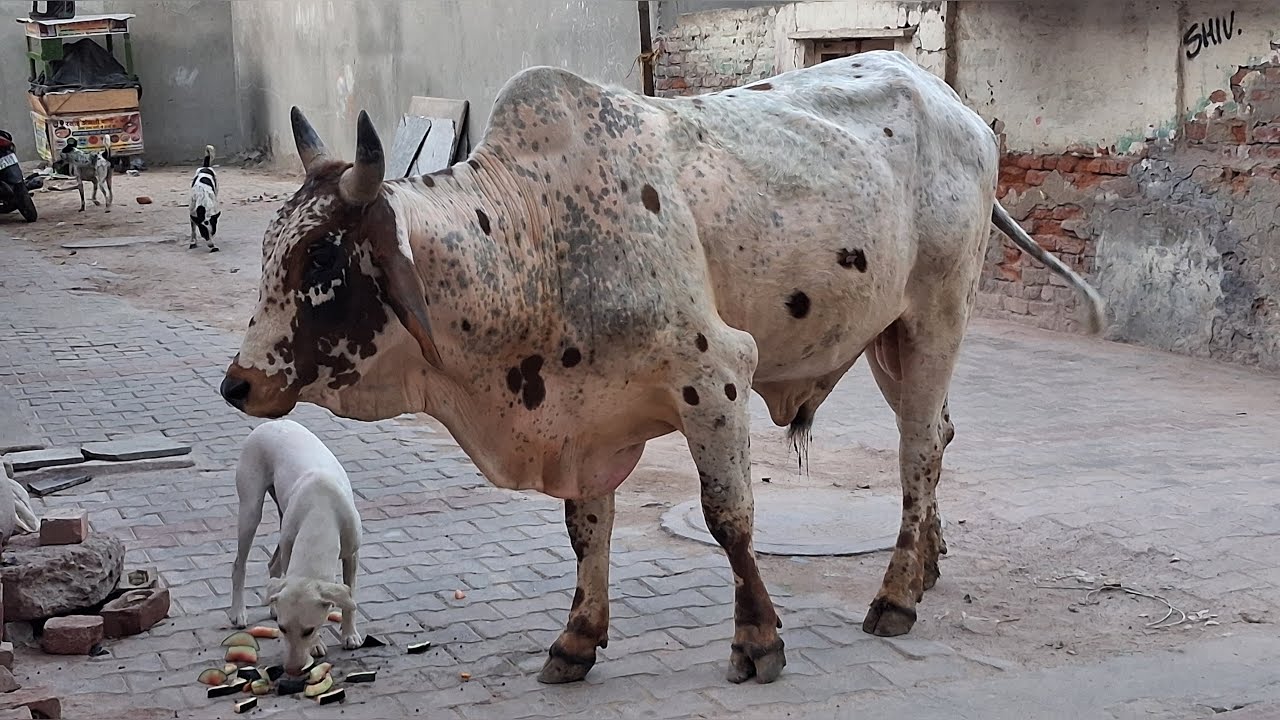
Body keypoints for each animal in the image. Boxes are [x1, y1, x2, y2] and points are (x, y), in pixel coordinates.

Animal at [219, 50, 1105, 686]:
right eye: (269, 248)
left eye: (323, 257)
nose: (239, 384)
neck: (533, 238)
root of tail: (954, 104)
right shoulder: (581, 420)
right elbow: (586, 530)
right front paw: (576, 639)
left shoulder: (714, 376)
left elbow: (729, 518)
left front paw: (758, 639)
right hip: (888, 335)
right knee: (939, 435)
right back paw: (925, 568)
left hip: (935, 316)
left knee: (918, 447)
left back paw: (894, 595)